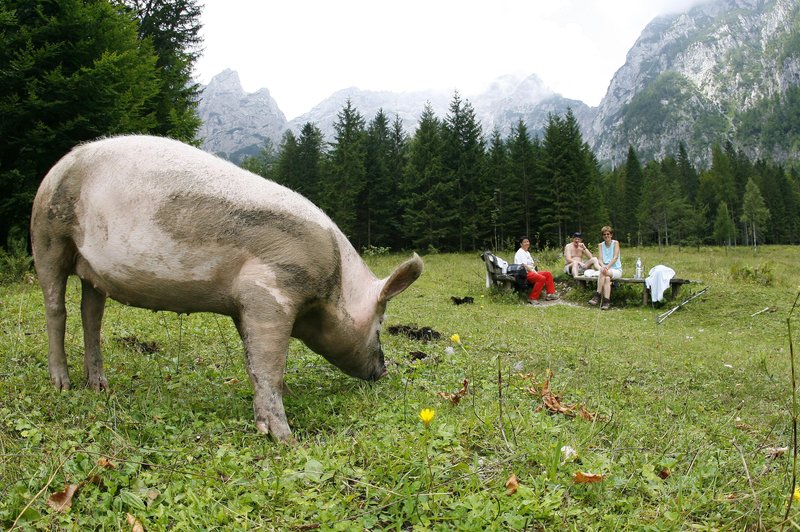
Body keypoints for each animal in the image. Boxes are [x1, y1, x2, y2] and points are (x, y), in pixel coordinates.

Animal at [29, 134, 424, 440]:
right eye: (380, 324)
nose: (383, 371)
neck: (336, 281)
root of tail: (61, 163)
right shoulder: (269, 291)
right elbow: (268, 363)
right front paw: (285, 438)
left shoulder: (243, 304)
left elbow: (256, 362)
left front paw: (287, 397)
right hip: (46, 236)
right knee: (56, 309)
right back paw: (62, 384)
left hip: (91, 269)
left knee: (91, 314)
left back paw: (100, 386)